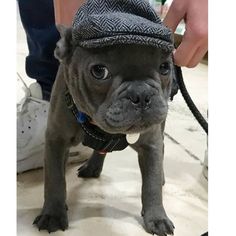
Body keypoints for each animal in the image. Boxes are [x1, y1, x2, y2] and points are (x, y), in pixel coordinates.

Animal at [33, 0, 177, 235]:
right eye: (99, 71)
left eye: (165, 67)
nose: (141, 94)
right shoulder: (56, 139)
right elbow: (54, 179)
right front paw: (53, 214)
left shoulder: (151, 144)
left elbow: (152, 185)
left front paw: (157, 217)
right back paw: (93, 167)